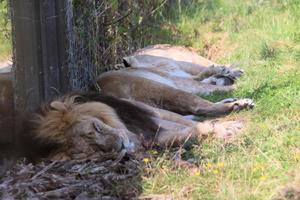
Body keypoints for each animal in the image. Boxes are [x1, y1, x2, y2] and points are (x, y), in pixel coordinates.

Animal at [26, 44, 253, 160]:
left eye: (97, 128)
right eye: (94, 150)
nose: (120, 146)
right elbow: (204, 89)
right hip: (162, 87)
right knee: (200, 101)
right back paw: (238, 99)